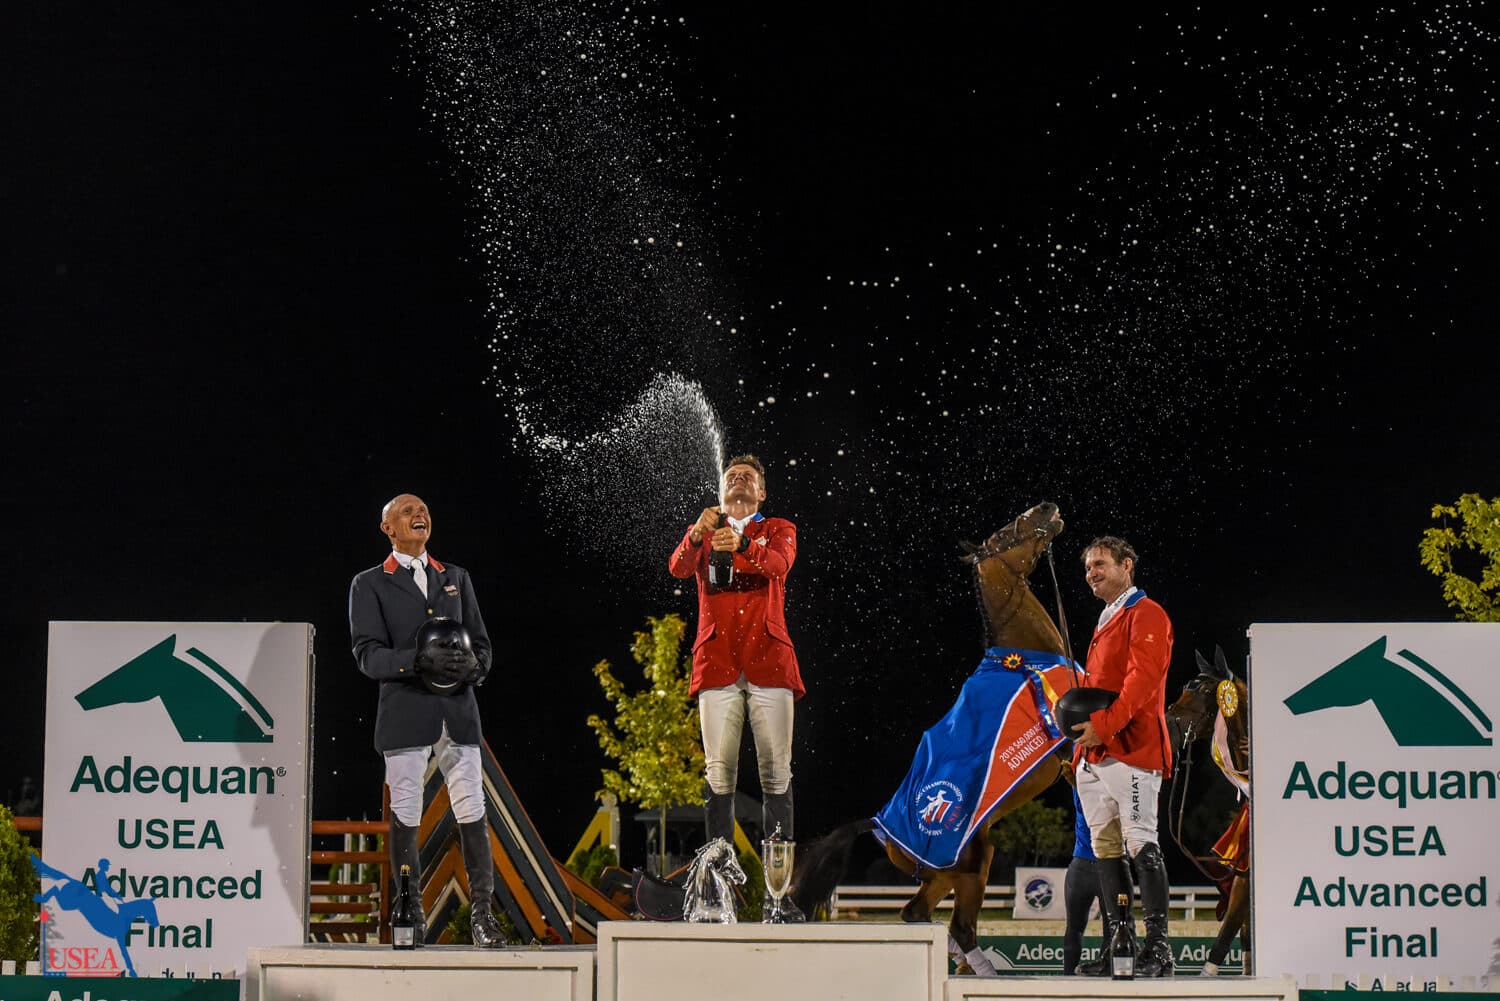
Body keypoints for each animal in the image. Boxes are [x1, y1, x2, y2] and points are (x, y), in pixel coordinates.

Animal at [788, 501, 1078, 975]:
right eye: (1004, 535)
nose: (1046, 509)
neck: (1025, 659)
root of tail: (880, 828)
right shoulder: (1070, 747)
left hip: (952, 873)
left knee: (919, 914)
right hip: (970, 865)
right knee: (956, 926)